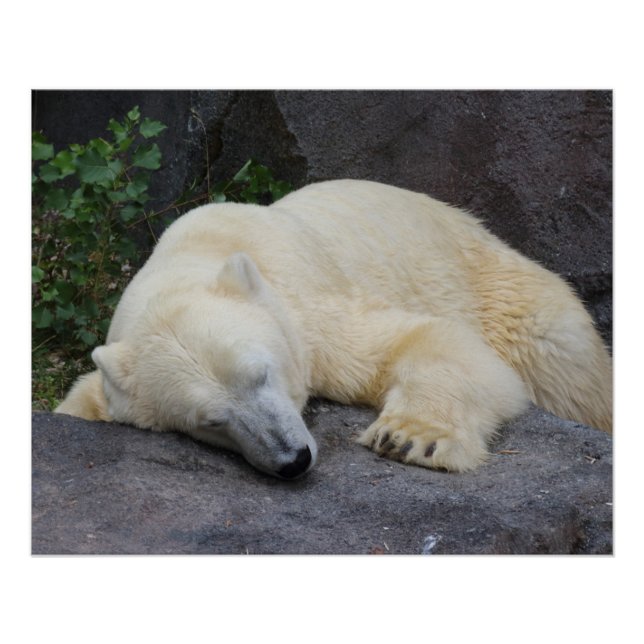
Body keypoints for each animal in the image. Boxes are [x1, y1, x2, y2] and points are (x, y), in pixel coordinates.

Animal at [55, 179, 612, 478]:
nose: (293, 459)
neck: (201, 251)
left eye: (261, 374)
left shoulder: (311, 310)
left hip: (508, 291)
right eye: (209, 420)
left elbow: (427, 340)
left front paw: (411, 439)